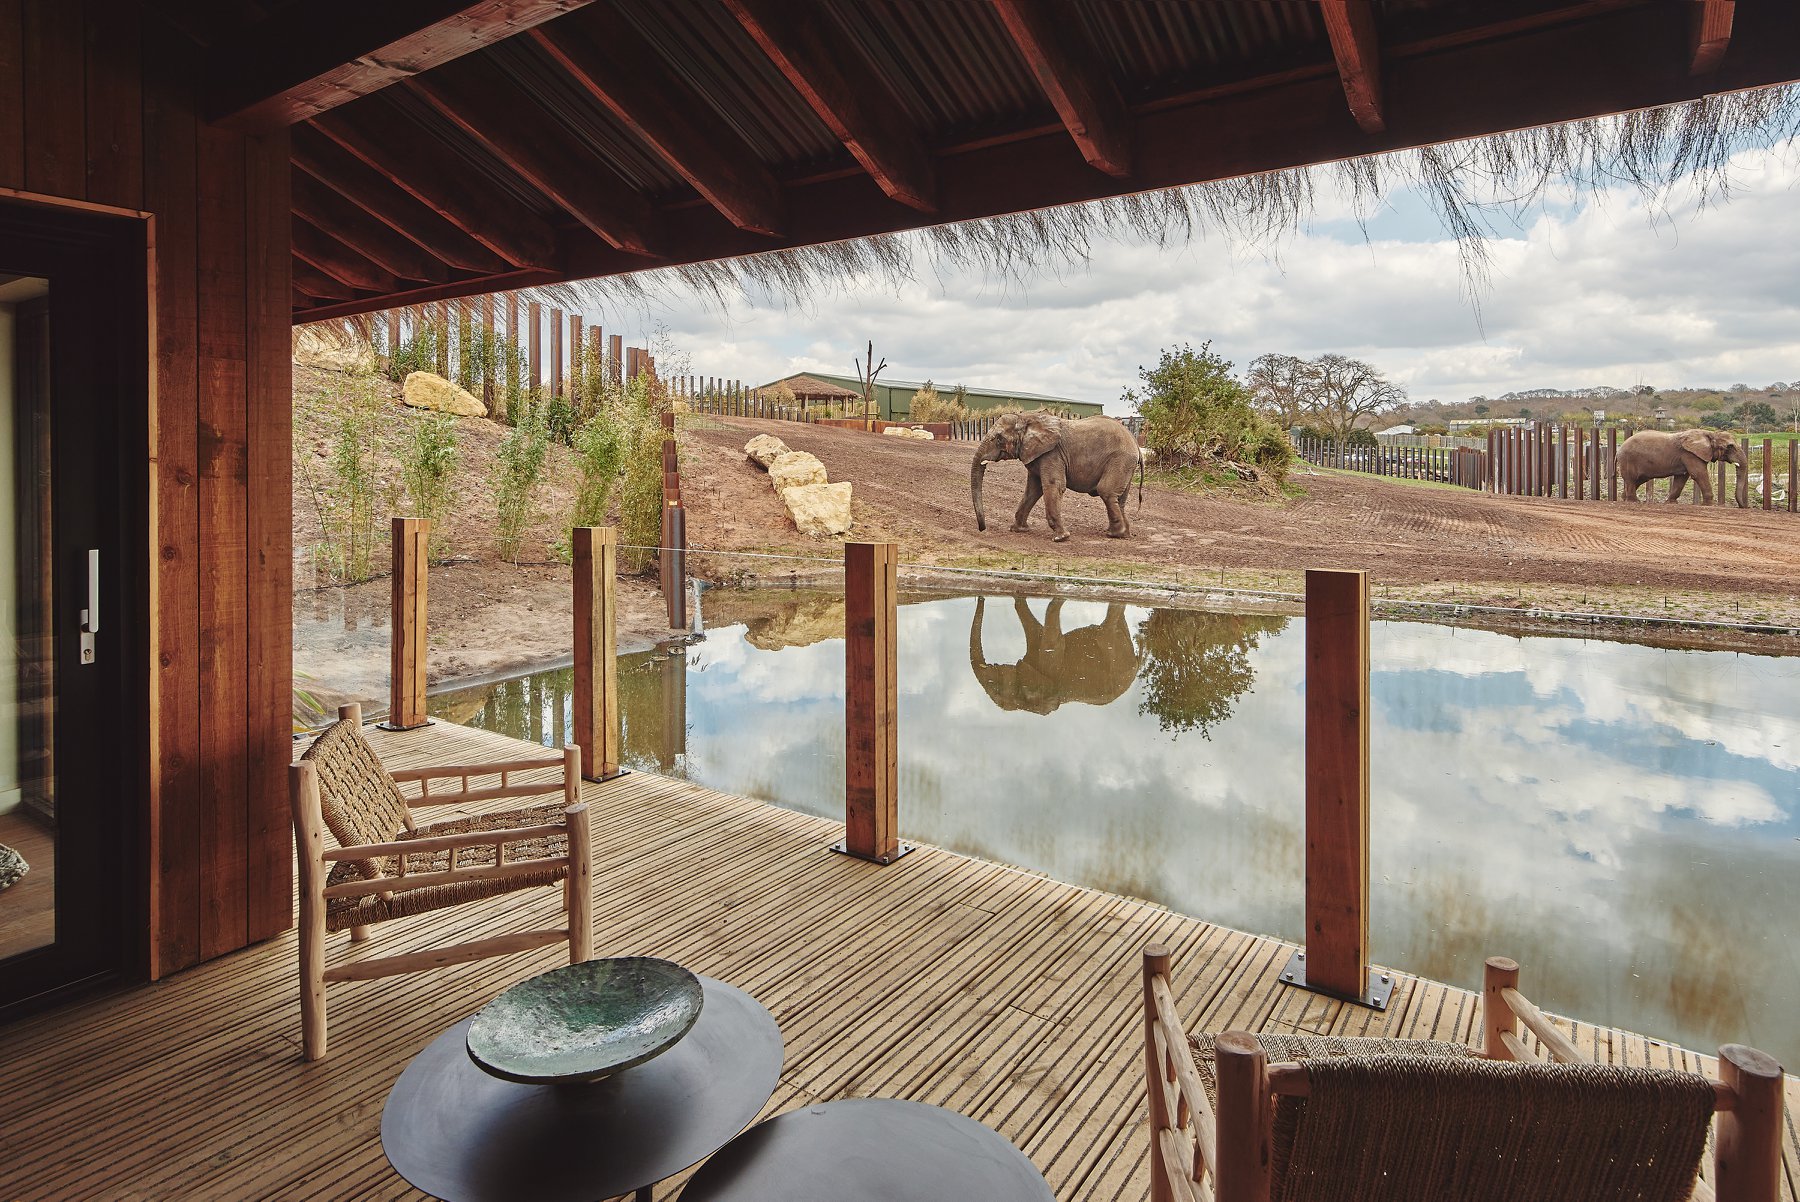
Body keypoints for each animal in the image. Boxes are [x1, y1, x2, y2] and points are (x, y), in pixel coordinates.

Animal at [972, 415, 1137, 543]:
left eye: (999, 438)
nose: (982, 529)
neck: (1026, 419)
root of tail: (1134, 441)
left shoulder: (1052, 454)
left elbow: (1053, 486)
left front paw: (1061, 538)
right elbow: (1033, 490)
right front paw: (1017, 529)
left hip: (1120, 460)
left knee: (1106, 491)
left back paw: (1115, 534)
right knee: (1119, 498)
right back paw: (1122, 534)